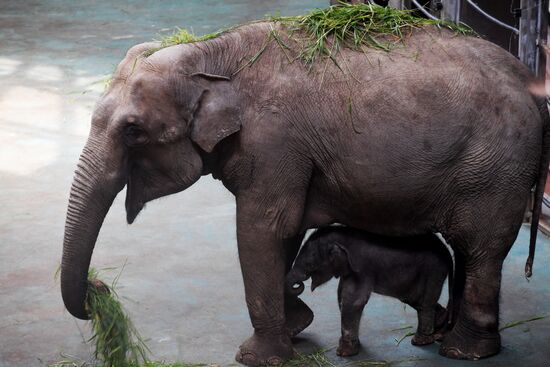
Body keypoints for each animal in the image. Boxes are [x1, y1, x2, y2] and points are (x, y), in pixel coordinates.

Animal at [288, 227, 452, 356]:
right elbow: (341, 297)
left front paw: (343, 354)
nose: (298, 284)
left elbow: (353, 301)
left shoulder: (362, 268)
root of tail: (447, 253)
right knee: (414, 298)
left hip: (433, 271)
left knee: (424, 302)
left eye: (309, 264)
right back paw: (438, 327)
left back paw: (420, 342)